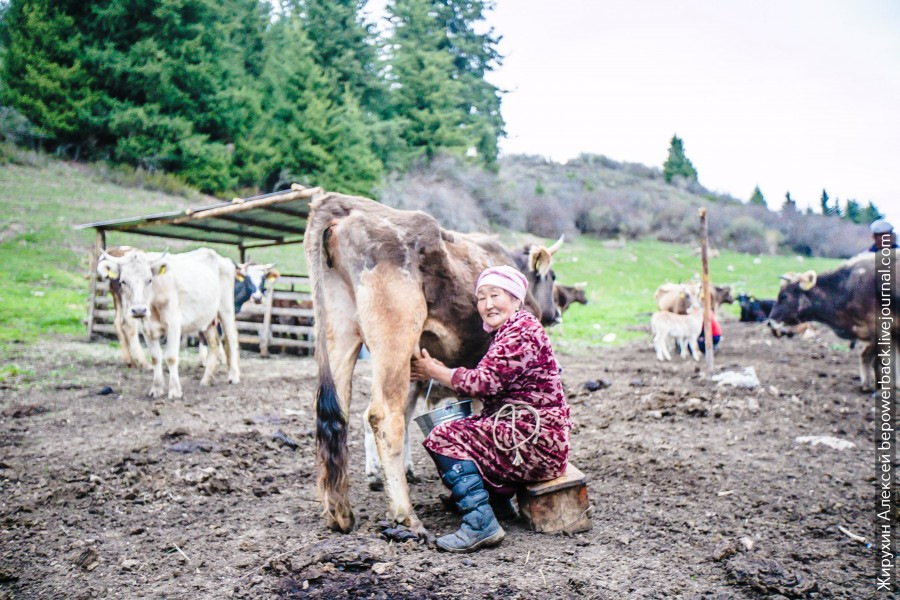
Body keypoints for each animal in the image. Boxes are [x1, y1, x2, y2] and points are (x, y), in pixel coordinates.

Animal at [97, 246, 239, 396]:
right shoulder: (146, 328)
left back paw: (234, 376)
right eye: (123, 281)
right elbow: (155, 357)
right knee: (214, 344)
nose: (139, 310)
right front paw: (156, 389)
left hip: (226, 308)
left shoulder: (174, 324)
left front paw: (175, 391)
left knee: (231, 337)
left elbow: (171, 357)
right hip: (207, 317)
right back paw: (206, 379)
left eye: (149, 280)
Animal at [306, 193, 560, 536]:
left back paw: (339, 513)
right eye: (552, 277)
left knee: (336, 415)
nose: (556, 313)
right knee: (384, 416)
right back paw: (405, 516)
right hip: (395, 335)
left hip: (341, 332)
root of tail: (345, 204)